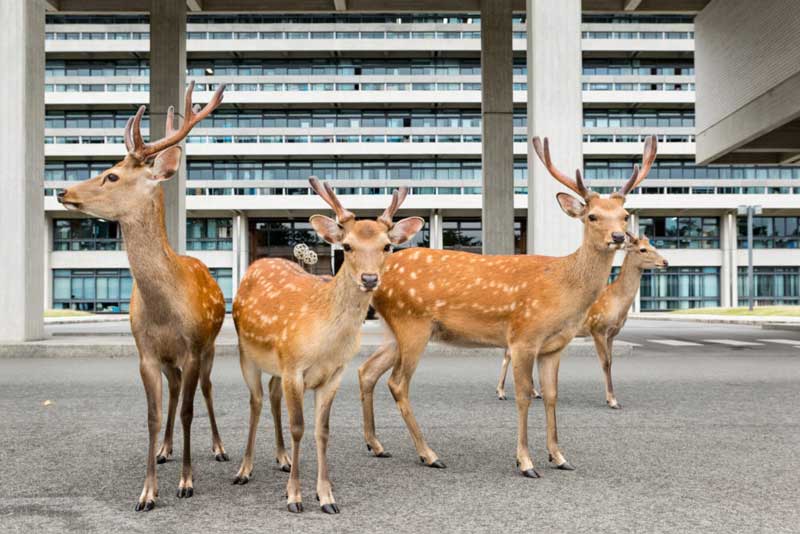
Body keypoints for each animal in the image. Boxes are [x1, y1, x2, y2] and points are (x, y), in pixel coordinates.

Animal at [56, 82, 229, 512]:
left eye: (112, 175)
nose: (63, 190)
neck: (165, 311)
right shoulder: (146, 352)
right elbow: (152, 415)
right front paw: (148, 492)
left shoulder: (192, 347)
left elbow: (188, 411)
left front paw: (186, 483)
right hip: (170, 360)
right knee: (174, 389)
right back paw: (165, 449)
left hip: (210, 346)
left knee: (205, 389)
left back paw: (219, 448)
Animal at [231, 178, 423, 514]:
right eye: (347, 246)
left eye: (387, 246)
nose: (369, 278)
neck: (324, 343)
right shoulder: (294, 366)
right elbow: (298, 427)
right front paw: (294, 497)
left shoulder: (333, 373)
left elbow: (322, 431)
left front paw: (326, 497)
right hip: (247, 353)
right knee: (255, 401)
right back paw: (244, 470)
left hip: (276, 366)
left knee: (272, 393)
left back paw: (282, 458)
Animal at [495, 233, 668, 408]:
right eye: (643, 249)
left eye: (654, 246)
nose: (665, 262)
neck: (615, 301)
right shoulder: (597, 327)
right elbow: (605, 363)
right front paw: (612, 401)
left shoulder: (612, 334)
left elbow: (612, 361)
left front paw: (611, 398)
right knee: (509, 354)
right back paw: (501, 392)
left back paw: (533, 392)